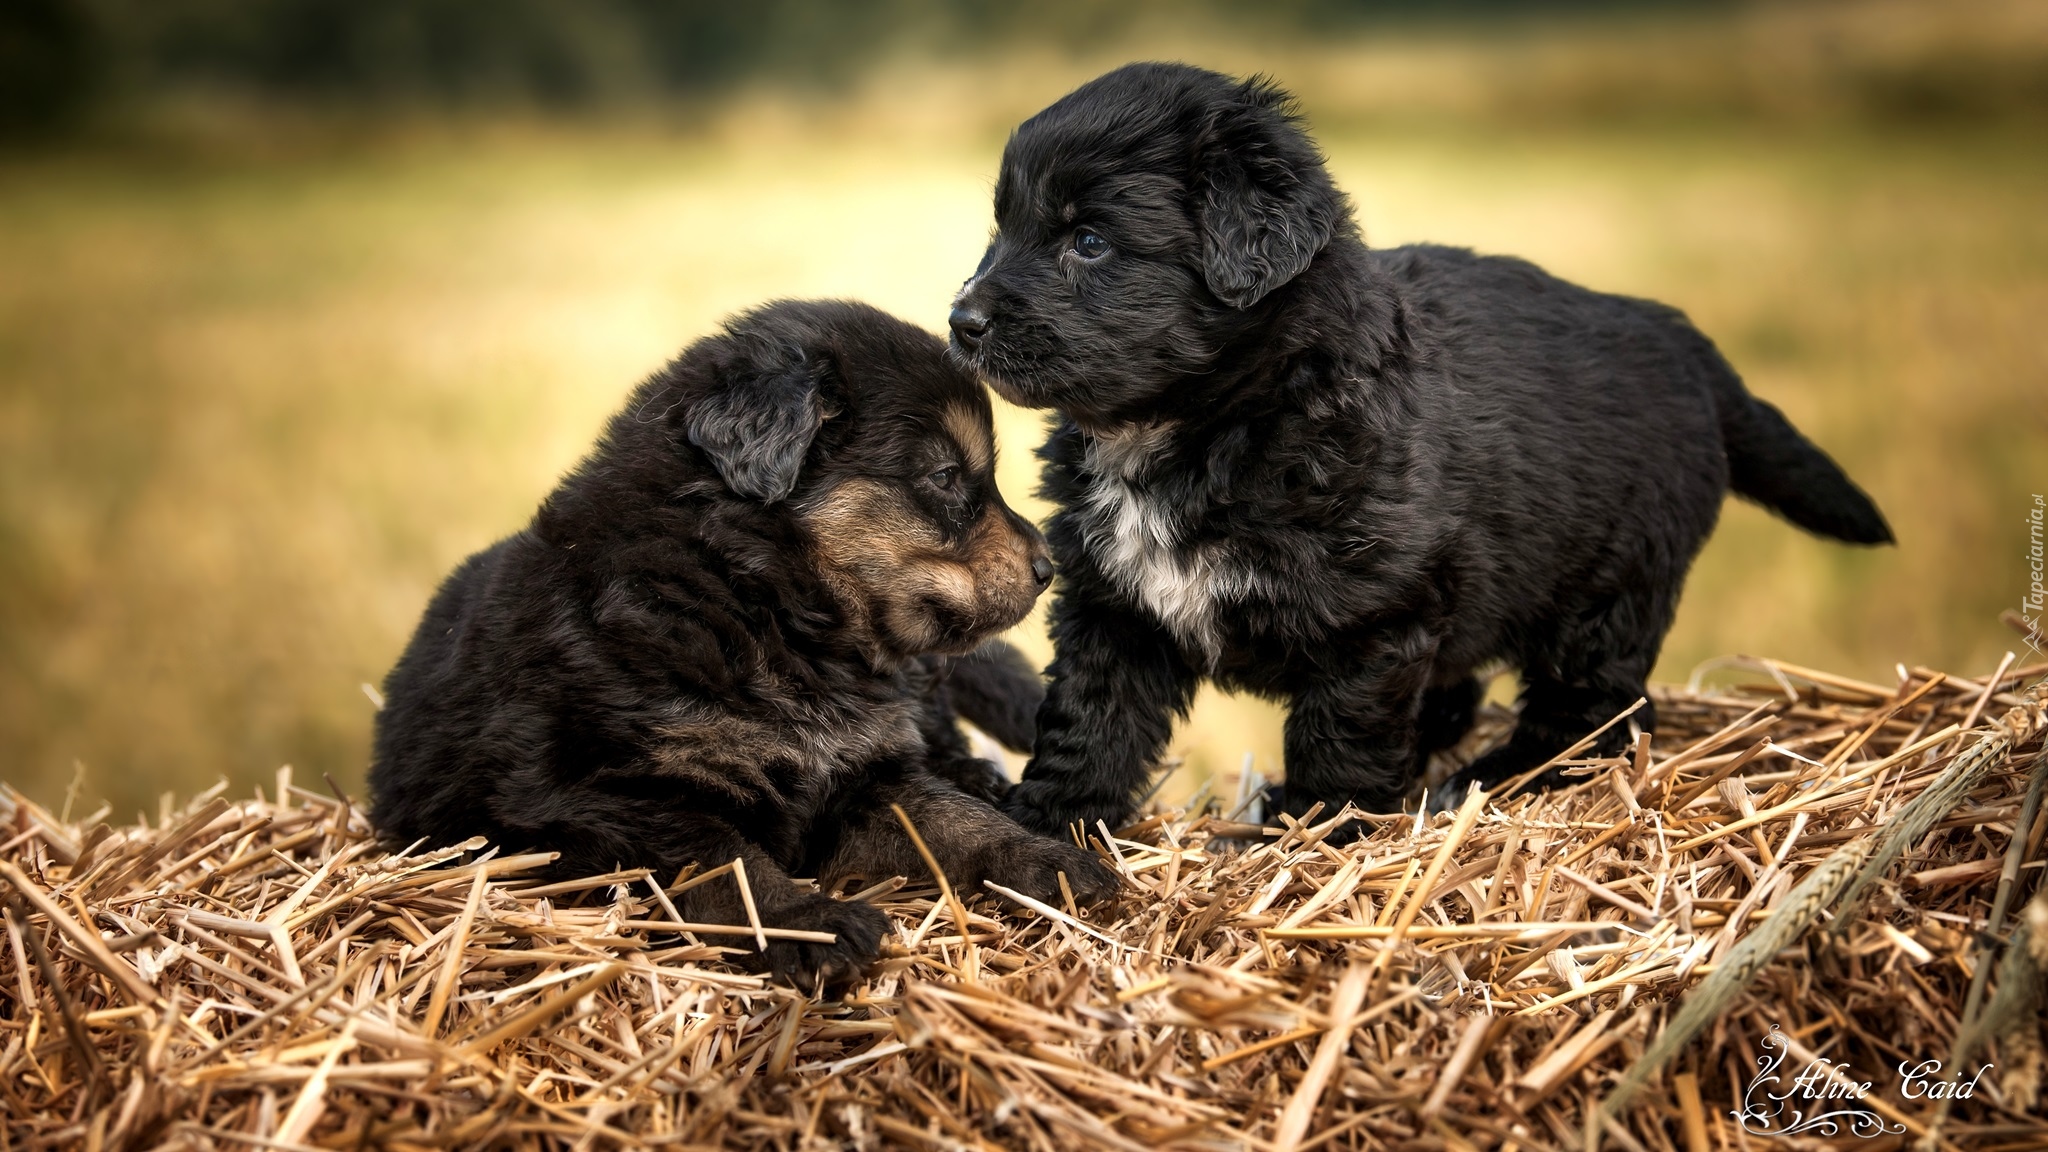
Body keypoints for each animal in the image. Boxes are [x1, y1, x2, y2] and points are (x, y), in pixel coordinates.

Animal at [376, 301, 1130, 983]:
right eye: (944, 477)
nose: (1048, 568)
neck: (757, 604)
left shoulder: (864, 776)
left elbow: (952, 818)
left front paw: (1048, 859)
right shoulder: (596, 801)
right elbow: (725, 857)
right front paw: (812, 923)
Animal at [950, 62, 1892, 828]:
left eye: (1089, 240)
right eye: (999, 228)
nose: (962, 322)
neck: (1210, 423)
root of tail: (1686, 342)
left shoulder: (1374, 619)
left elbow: (1342, 738)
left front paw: (1315, 829)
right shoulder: (1114, 606)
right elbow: (1091, 721)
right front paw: (1049, 823)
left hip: (1606, 593)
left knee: (1598, 715)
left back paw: (1495, 777)